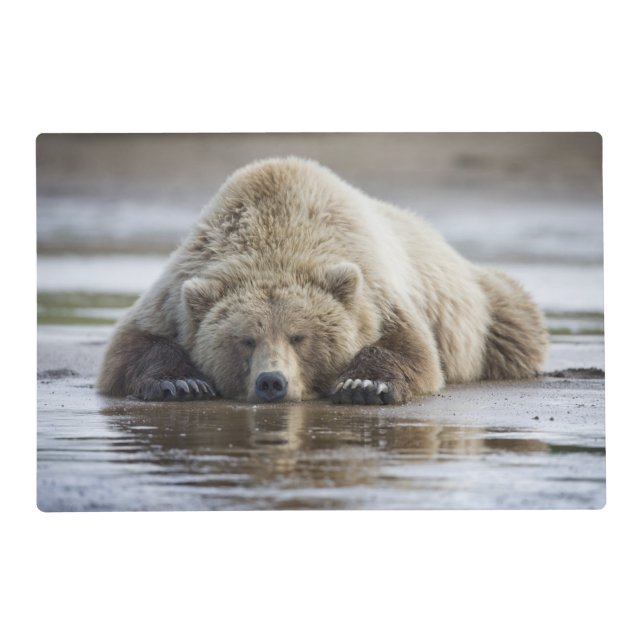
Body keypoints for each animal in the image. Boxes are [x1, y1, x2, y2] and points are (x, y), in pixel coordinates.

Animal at [97, 157, 548, 405]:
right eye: (245, 339)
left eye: (299, 336)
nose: (272, 382)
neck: (276, 231)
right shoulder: (180, 285)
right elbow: (131, 346)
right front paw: (181, 382)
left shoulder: (375, 288)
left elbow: (412, 349)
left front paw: (364, 384)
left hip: (484, 306)